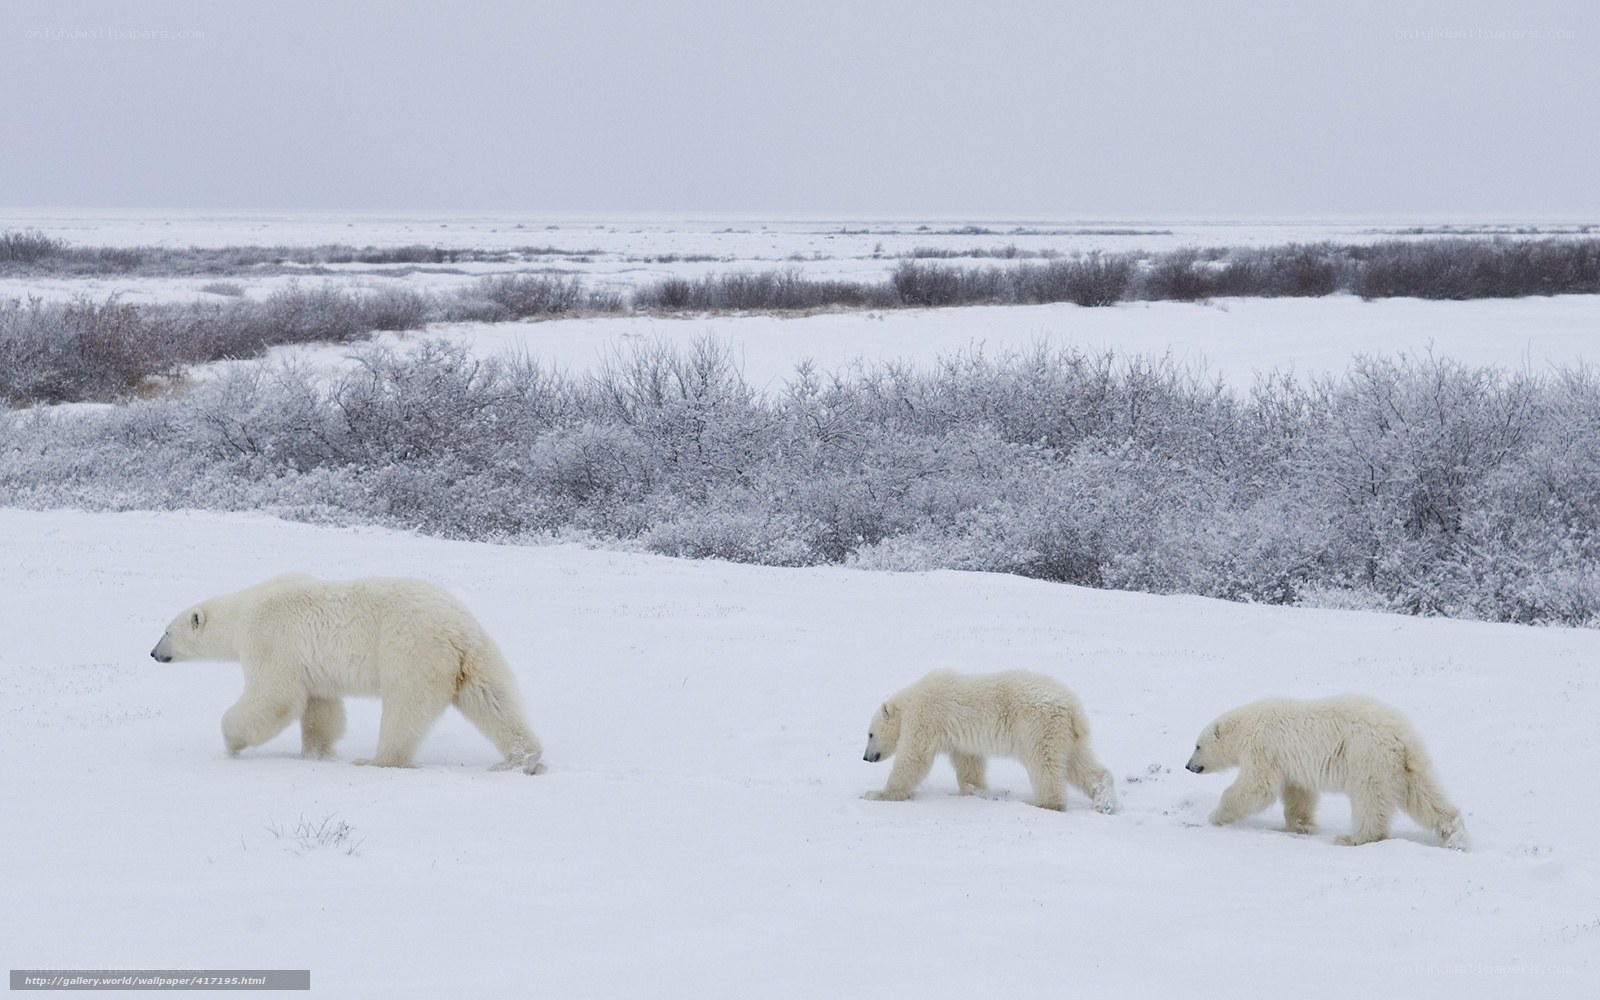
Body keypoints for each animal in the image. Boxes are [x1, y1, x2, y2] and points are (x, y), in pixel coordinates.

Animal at [150, 573, 545, 774]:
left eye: (167, 631)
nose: (153, 653)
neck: (245, 608)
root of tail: (457, 630)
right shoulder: (312, 664)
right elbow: (320, 707)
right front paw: (315, 753)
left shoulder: (271, 639)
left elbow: (274, 696)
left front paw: (232, 743)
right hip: (477, 656)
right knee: (494, 700)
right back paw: (522, 759)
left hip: (411, 652)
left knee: (405, 709)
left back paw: (377, 759)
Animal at [862, 669, 1116, 813]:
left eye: (870, 734)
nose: (866, 757)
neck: (911, 699)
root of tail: (1073, 707)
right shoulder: (960, 738)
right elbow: (969, 763)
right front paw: (975, 791)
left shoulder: (926, 717)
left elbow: (913, 757)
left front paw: (878, 794)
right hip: (1067, 735)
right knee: (1081, 764)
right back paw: (1103, 801)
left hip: (1038, 725)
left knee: (1044, 764)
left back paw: (1044, 803)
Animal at [1185, 694, 1465, 848]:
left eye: (1197, 745)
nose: (1188, 766)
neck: (1247, 725)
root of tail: (1401, 736)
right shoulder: (1290, 763)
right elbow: (1298, 794)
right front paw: (1300, 825)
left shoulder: (1263, 747)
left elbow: (1256, 787)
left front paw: (1215, 816)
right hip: (1405, 764)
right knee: (1424, 795)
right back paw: (1454, 835)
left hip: (1367, 757)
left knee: (1369, 799)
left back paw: (1353, 838)